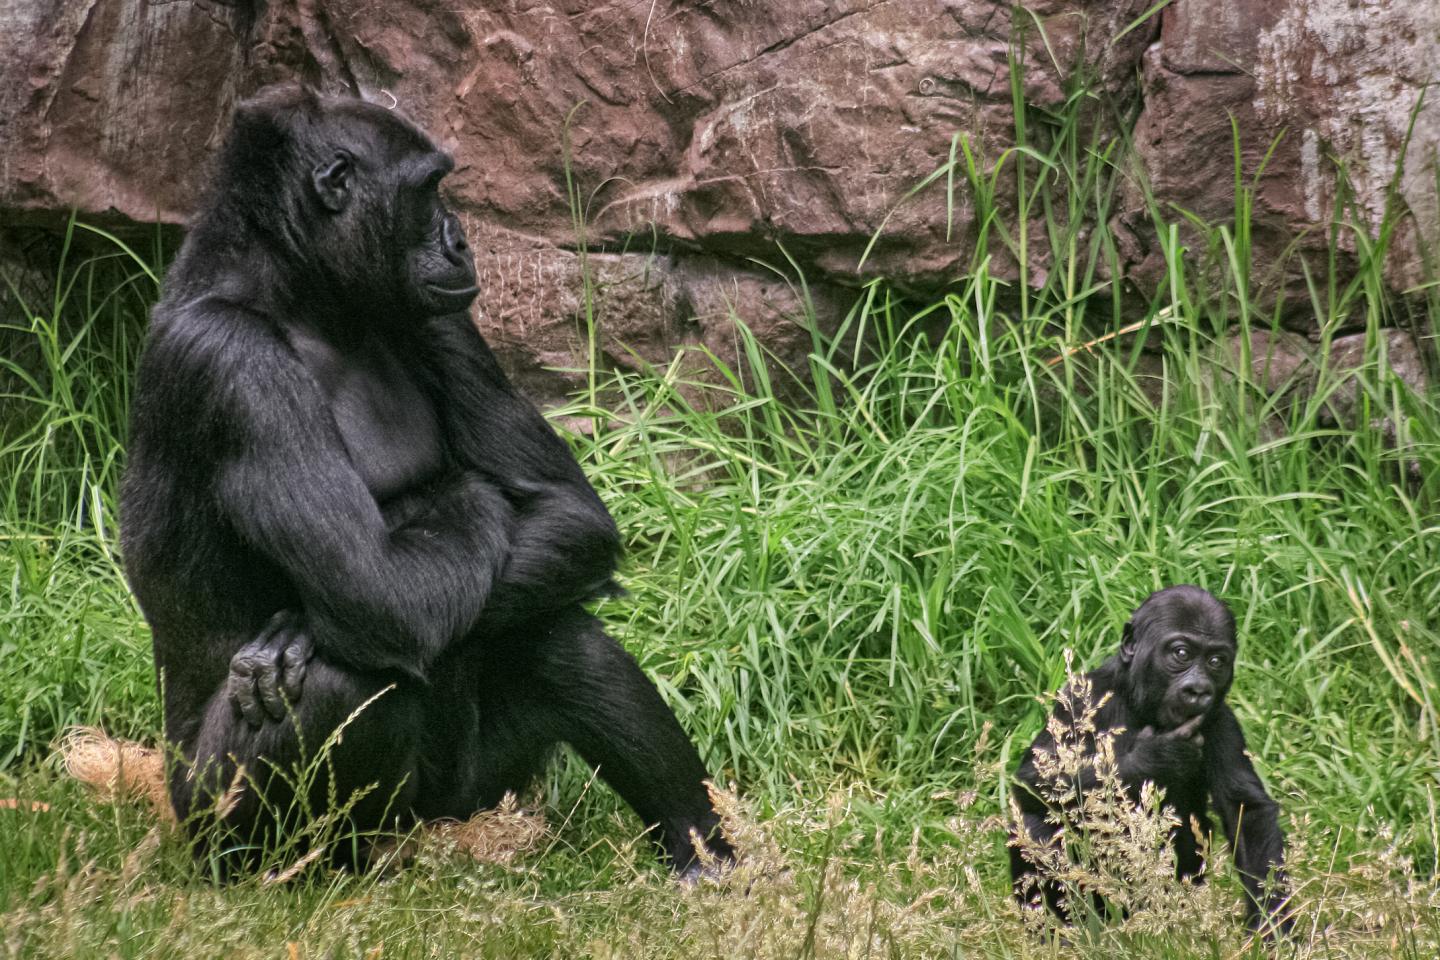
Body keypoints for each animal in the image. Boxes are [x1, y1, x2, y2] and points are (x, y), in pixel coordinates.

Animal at [116, 84, 731, 880]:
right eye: (426, 190)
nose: (460, 238)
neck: (299, 291)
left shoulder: (440, 320)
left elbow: (567, 513)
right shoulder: (230, 360)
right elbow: (376, 590)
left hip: (464, 803)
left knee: (557, 633)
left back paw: (705, 854)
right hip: (210, 820)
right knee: (342, 682)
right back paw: (299, 872)